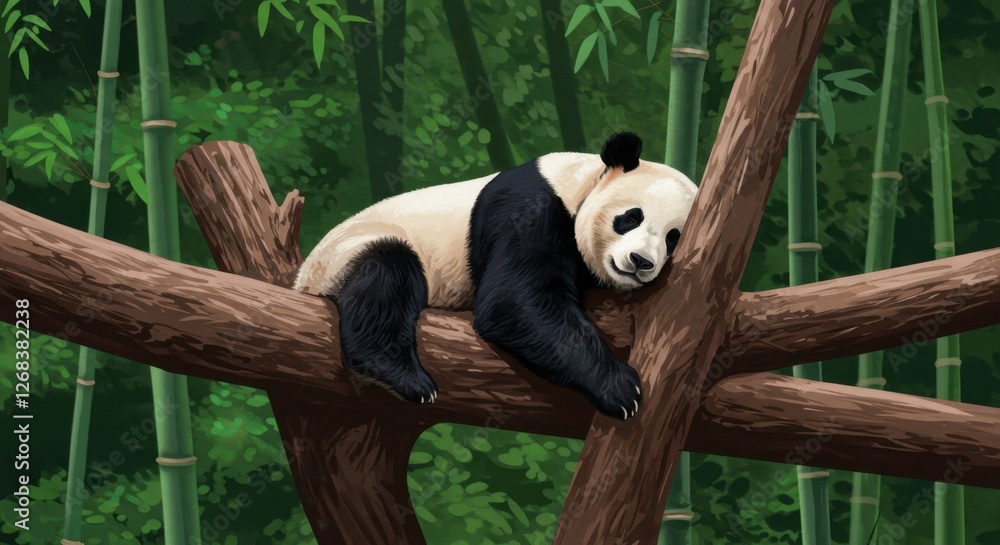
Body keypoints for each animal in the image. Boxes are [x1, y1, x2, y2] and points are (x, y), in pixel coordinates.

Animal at [294, 132, 697, 419]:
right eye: (630, 217)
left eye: (673, 238)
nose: (640, 261)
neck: (579, 183)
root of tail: (303, 281)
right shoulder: (529, 208)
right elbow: (515, 301)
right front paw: (621, 388)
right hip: (348, 253)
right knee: (387, 277)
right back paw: (404, 375)